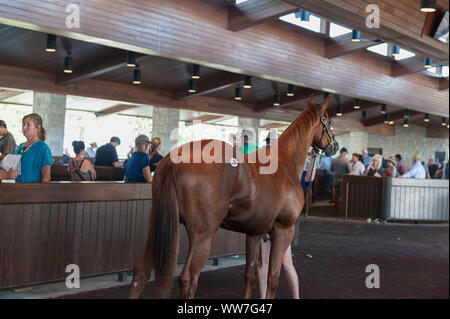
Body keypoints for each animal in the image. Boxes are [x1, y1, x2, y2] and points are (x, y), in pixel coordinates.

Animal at [128, 95, 336, 300]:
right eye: (329, 120)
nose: (335, 146)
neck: (285, 163)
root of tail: (174, 157)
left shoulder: (255, 233)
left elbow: (251, 274)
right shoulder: (284, 230)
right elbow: (273, 279)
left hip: (157, 225)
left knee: (141, 272)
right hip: (203, 234)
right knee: (188, 279)